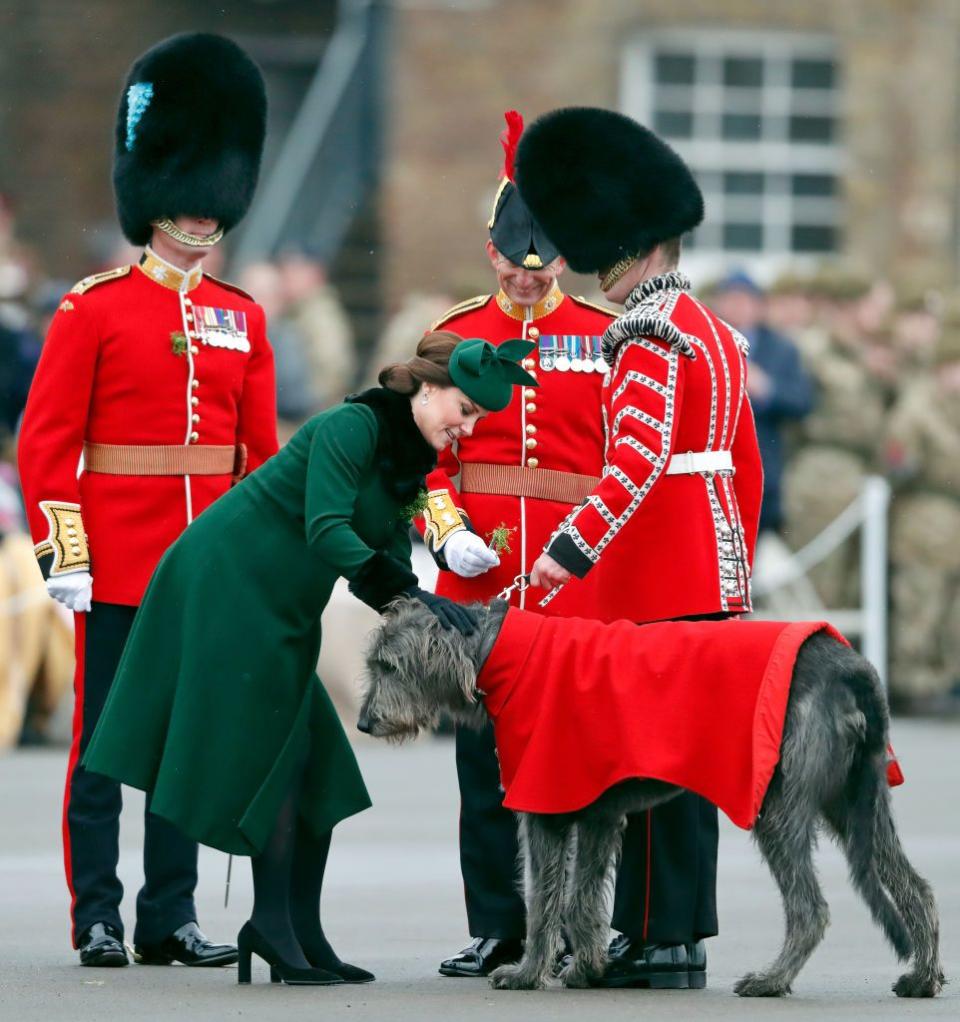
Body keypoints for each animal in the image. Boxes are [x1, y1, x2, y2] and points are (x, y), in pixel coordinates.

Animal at [355, 596, 940, 997]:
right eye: (375, 664)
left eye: (390, 666)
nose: (362, 722)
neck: (501, 651)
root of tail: (853, 666)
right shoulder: (596, 810)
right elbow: (582, 897)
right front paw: (586, 967)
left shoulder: (545, 807)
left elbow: (544, 900)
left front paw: (526, 972)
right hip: (856, 800)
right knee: (915, 886)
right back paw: (923, 976)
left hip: (779, 804)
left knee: (810, 907)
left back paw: (771, 980)